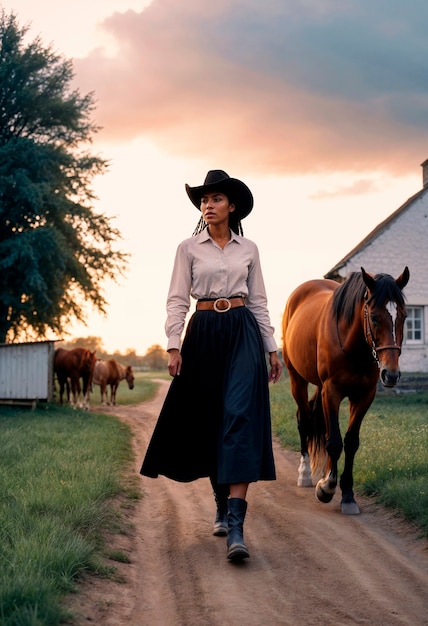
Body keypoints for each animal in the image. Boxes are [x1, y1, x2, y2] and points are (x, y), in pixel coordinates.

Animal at [282, 266, 410, 516]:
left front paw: (348, 496)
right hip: (297, 379)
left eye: (404, 316)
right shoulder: (332, 391)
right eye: (374, 317)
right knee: (304, 419)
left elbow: (350, 442)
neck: (355, 346)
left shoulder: (364, 396)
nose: (391, 374)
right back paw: (305, 474)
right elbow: (334, 441)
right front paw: (326, 488)